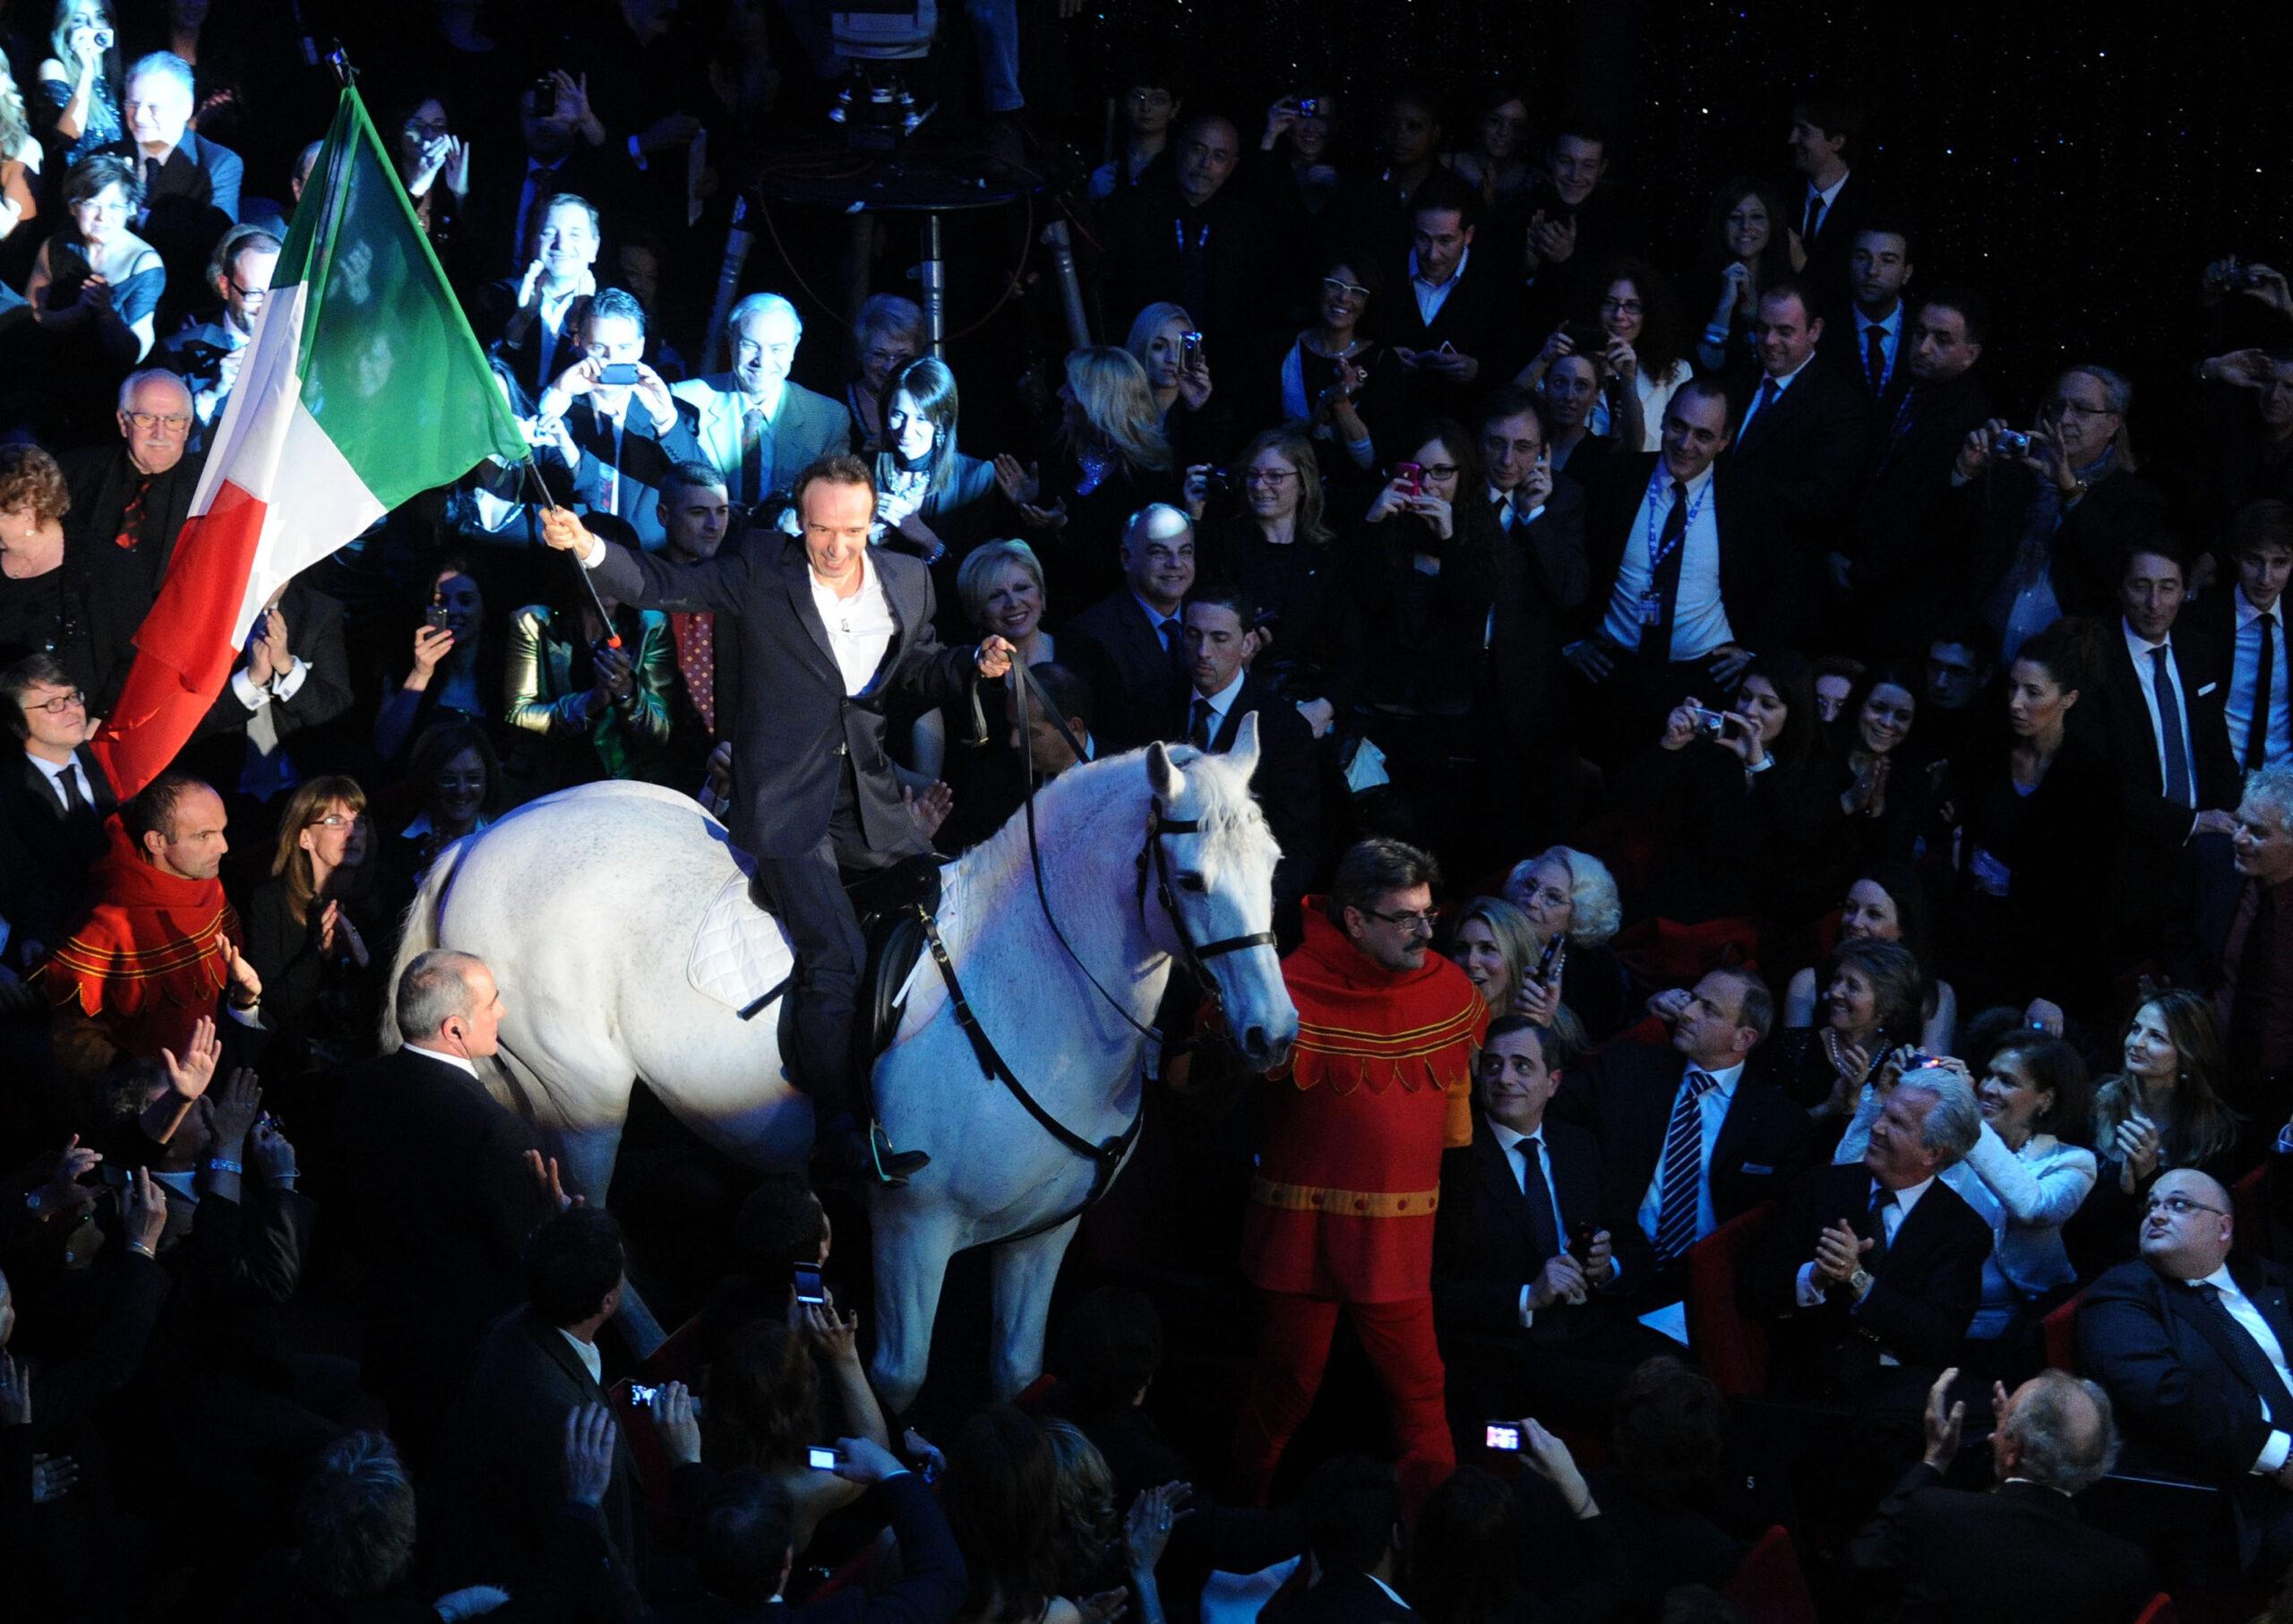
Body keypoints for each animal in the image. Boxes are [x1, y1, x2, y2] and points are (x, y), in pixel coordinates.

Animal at [385, 725, 1302, 1404]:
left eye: (1275, 866)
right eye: (1191, 879)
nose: (1271, 1034)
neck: (1036, 988)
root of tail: (479, 840)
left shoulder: (1044, 1236)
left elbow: (1016, 1372)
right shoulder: (914, 1225)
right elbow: (900, 1376)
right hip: (584, 1095)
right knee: (584, 1219)